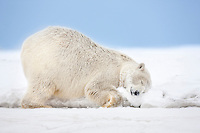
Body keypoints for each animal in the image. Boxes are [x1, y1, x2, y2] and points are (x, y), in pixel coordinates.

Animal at [20, 26, 152, 108]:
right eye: (141, 81)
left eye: (145, 90)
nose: (136, 92)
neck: (121, 64)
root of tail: (27, 43)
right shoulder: (109, 71)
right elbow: (94, 88)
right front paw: (110, 102)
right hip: (46, 64)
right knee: (42, 86)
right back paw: (42, 105)